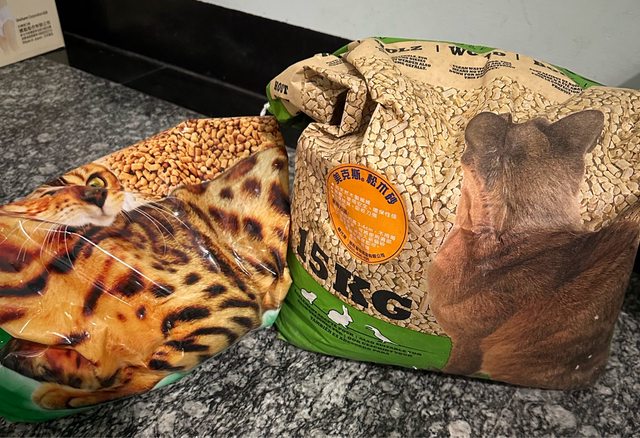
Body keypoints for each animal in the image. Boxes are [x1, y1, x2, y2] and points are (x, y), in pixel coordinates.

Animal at [0, 146, 291, 409]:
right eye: (48, 194)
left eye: (95, 182)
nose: (96, 195)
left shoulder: (226, 306)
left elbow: (147, 368)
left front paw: (70, 394)